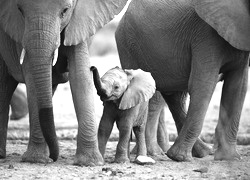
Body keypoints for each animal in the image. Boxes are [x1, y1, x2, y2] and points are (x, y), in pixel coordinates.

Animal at [0, 0, 128, 166]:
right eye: (20, 10)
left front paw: (89, 163)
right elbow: (31, 77)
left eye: (65, 11)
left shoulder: (78, 24)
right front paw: (35, 160)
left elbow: (81, 76)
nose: (53, 158)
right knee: (4, 87)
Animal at [115, 0, 250, 162]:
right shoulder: (206, 36)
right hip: (129, 46)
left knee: (174, 96)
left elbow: (237, 88)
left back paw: (201, 152)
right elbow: (203, 85)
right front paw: (179, 157)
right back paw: (163, 154)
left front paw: (229, 158)